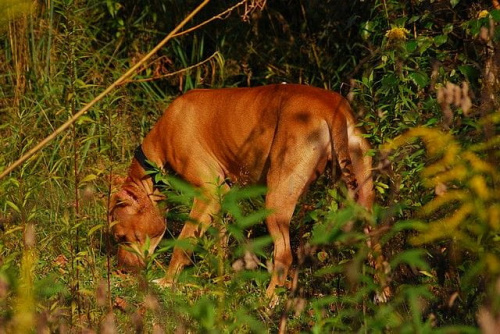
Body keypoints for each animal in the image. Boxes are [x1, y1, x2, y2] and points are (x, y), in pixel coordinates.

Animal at [108, 83, 376, 298]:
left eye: (121, 237)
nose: (120, 270)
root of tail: (332, 106)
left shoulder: (207, 193)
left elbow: (183, 242)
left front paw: (166, 282)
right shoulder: (223, 197)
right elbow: (220, 242)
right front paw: (220, 278)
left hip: (277, 200)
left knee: (284, 256)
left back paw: (268, 302)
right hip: (362, 192)